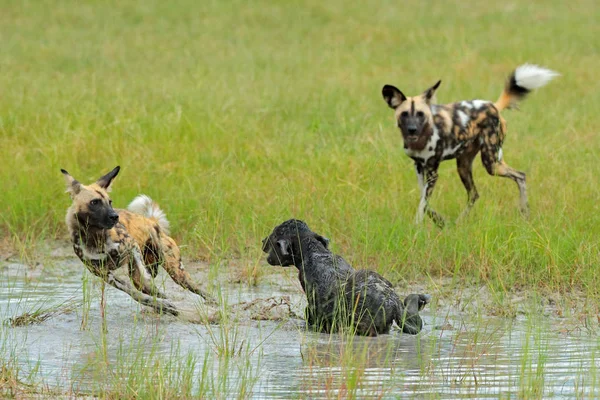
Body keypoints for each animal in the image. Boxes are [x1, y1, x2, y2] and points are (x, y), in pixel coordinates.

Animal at [61, 166, 214, 316]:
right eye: (94, 202)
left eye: (110, 202)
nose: (115, 216)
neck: (94, 236)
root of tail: (152, 221)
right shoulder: (104, 273)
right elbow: (135, 294)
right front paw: (161, 305)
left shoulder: (132, 246)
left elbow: (144, 276)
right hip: (141, 276)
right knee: (152, 290)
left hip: (177, 273)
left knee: (197, 289)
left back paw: (214, 304)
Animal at [382, 64, 560, 227]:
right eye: (404, 114)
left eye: (420, 114)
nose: (412, 129)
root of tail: (493, 106)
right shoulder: (419, 166)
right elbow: (423, 200)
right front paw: (439, 221)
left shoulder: (433, 171)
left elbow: (422, 204)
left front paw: (417, 227)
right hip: (464, 165)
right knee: (474, 194)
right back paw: (459, 223)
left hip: (491, 164)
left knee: (520, 176)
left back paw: (525, 212)